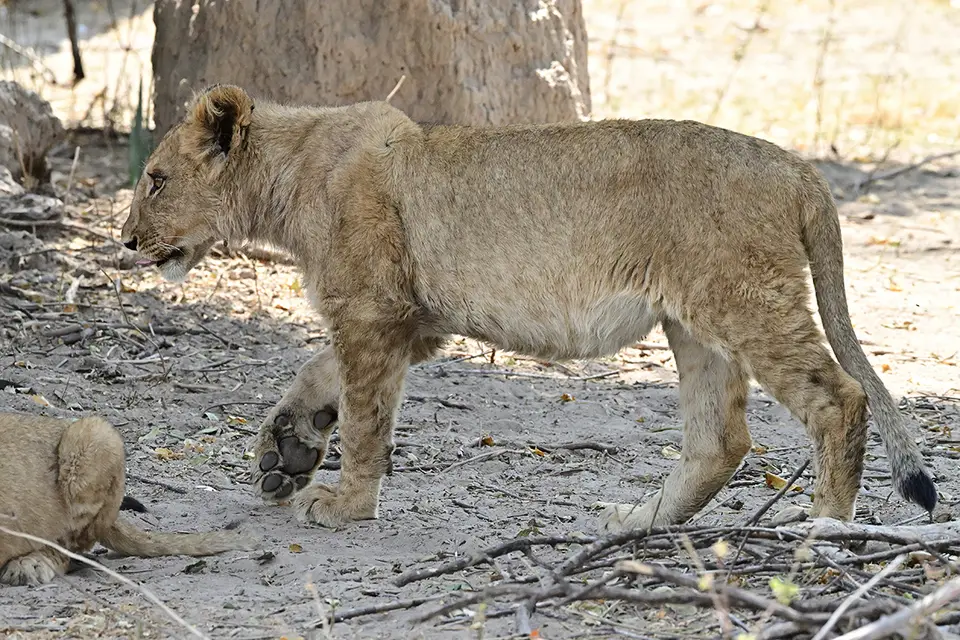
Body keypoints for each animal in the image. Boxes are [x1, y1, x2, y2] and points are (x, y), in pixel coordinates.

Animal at [120, 84, 937, 532]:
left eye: (155, 179)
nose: (125, 240)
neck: (293, 170)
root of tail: (797, 167)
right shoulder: (415, 319)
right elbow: (319, 375)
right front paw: (286, 449)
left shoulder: (375, 315)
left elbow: (364, 420)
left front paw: (345, 502)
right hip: (692, 323)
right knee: (721, 440)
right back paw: (636, 522)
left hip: (743, 303)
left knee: (841, 398)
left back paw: (826, 527)